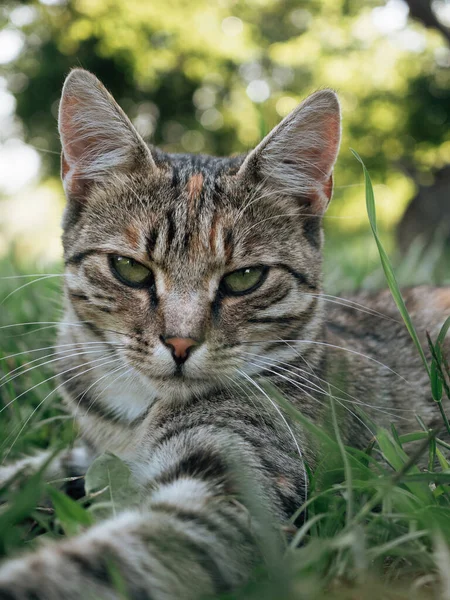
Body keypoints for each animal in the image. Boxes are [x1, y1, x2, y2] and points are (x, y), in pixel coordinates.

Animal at [0, 70, 450, 600]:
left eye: (245, 278)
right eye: (129, 269)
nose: (179, 343)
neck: (135, 415)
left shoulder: (234, 490)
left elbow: (114, 559)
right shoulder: (87, 459)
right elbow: (27, 476)